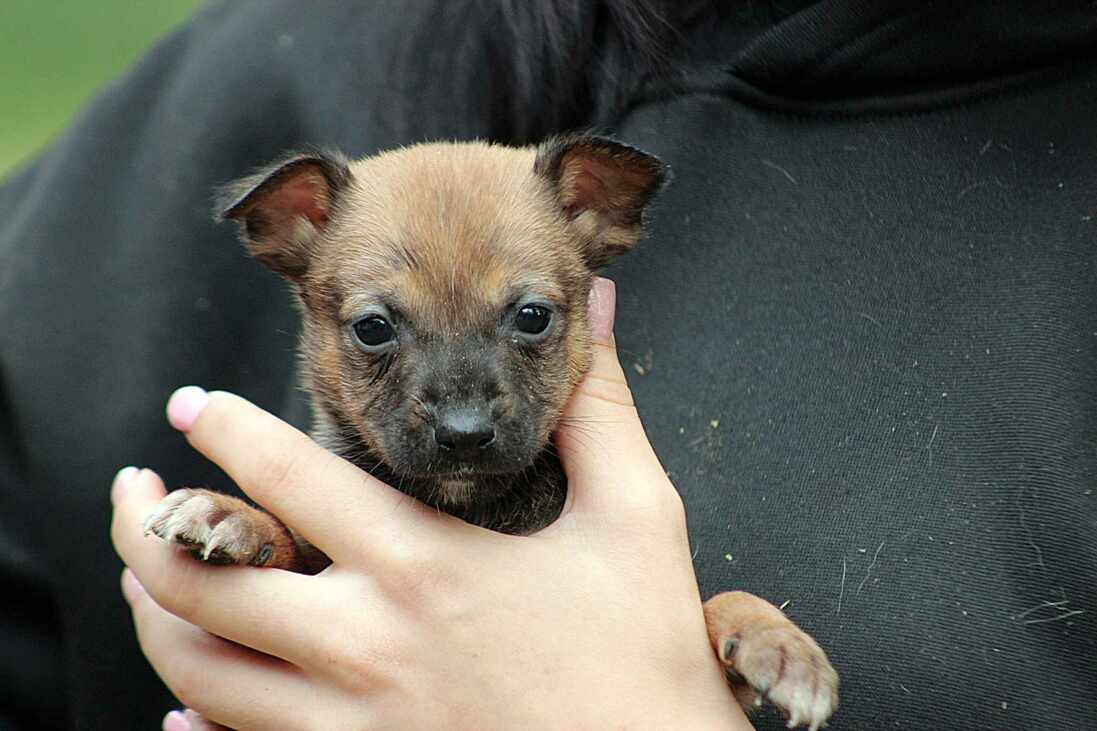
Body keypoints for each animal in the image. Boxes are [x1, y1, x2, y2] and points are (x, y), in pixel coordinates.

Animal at [145, 133, 838, 724]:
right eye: (372, 328)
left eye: (532, 317)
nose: (463, 434)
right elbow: (288, 550)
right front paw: (232, 515)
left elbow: (712, 607)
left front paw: (778, 641)